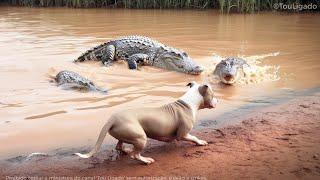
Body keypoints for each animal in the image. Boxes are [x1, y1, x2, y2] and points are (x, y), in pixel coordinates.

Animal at [75, 82, 218, 165]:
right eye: (213, 95)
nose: (218, 100)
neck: (190, 102)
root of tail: (112, 119)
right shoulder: (183, 134)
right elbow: (193, 137)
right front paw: (201, 142)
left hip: (126, 133)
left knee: (119, 146)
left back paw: (127, 150)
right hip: (141, 137)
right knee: (135, 155)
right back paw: (146, 160)